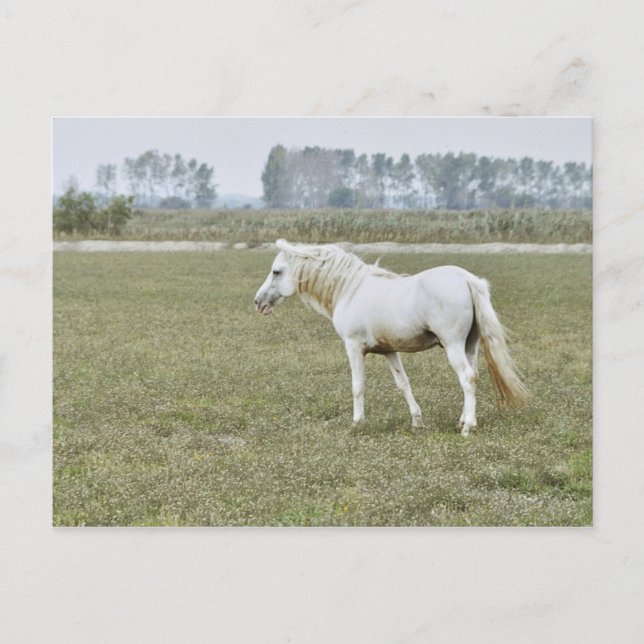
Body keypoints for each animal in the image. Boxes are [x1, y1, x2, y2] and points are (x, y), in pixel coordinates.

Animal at [254, 239, 529, 436]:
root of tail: (467, 279)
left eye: (276, 272)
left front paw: (357, 422)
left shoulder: (353, 347)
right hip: (469, 346)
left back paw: (468, 427)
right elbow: (403, 384)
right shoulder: (389, 351)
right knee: (473, 377)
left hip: (453, 346)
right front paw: (417, 421)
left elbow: (357, 386)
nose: (258, 302)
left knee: (467, 378)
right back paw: (462, 421)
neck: (349, 289)